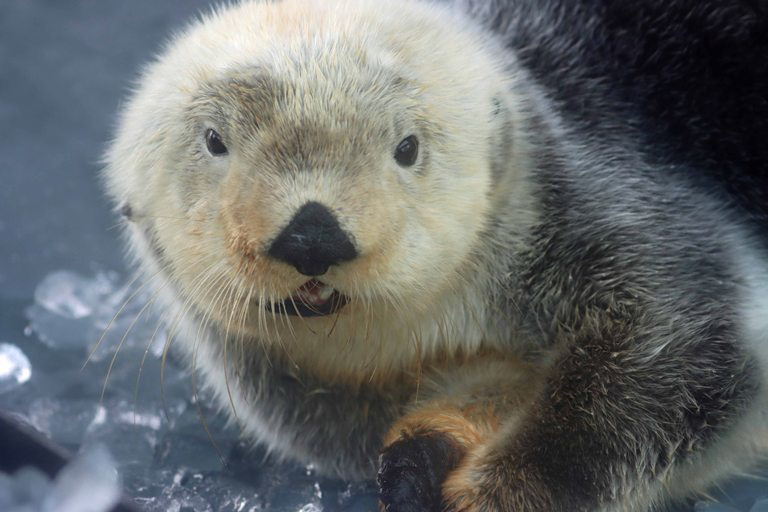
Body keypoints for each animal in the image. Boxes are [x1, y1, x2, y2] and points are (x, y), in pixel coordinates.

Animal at [104, 0, 768, 510]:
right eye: (215, 141)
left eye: (407, 147)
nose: (312, 235)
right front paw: (421, 455)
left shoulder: (611, 216)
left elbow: (677, 360)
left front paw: (504, 490)